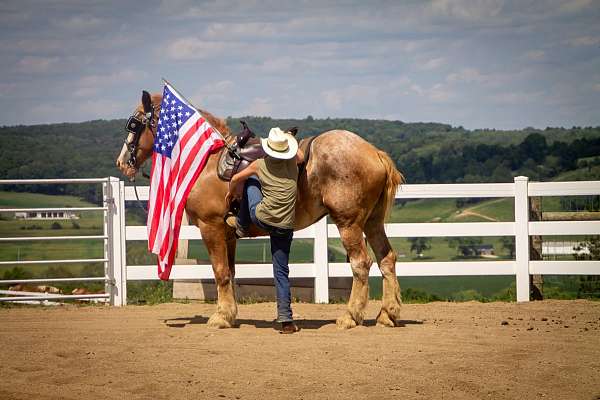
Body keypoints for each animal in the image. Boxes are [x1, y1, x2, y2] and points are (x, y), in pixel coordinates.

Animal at [115, 92, 406, 330]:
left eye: (134, 124)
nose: (122, 162)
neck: (207, 162)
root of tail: (374, 152)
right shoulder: (228, 234)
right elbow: (230, 273)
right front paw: (229, 313)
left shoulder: (211, 227)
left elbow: (220, 271)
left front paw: (220, 317)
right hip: (372, 223)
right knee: (386, 259)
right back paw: (387, 314)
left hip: (349, 223)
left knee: (361, 263)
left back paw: (350, 316)